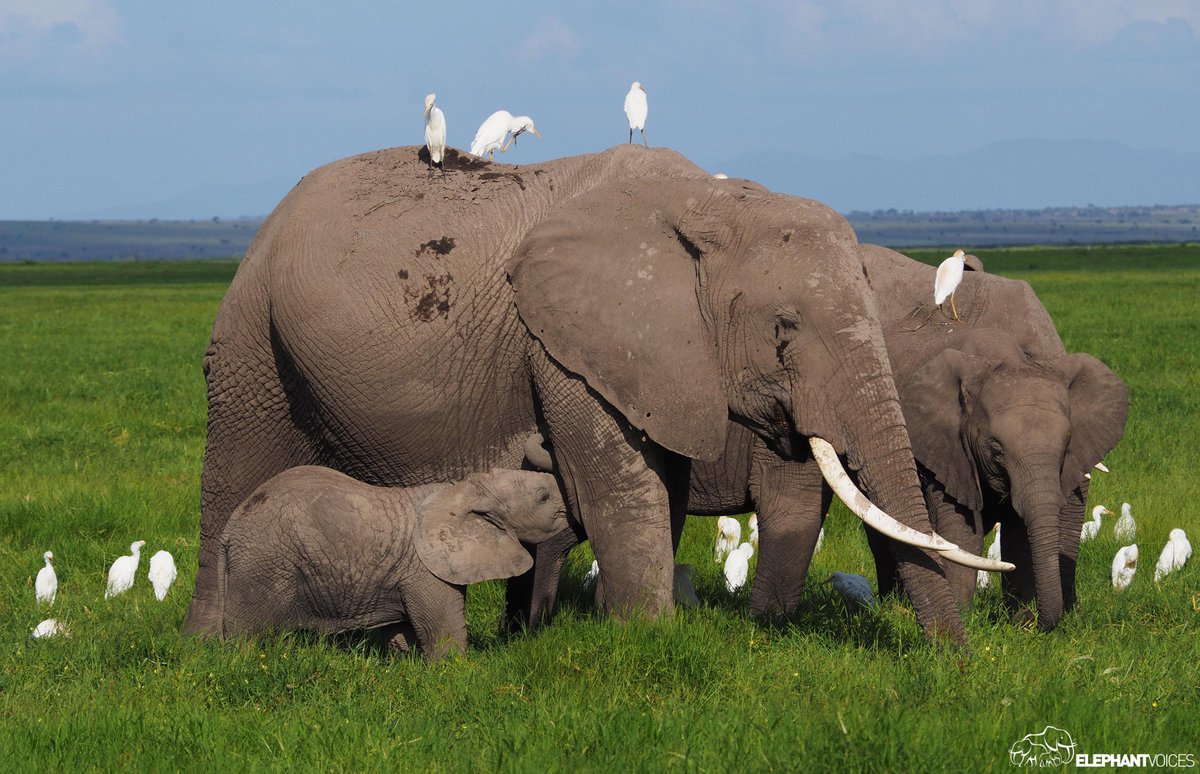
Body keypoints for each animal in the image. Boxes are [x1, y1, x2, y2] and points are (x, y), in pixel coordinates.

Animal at [215, 466, 570, 659]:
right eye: (543, 497)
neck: (463, 489)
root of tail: (230, 529)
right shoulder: (424, 571)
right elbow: (445, 634)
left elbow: (404, 634)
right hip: (263, 565)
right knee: (247, 636)